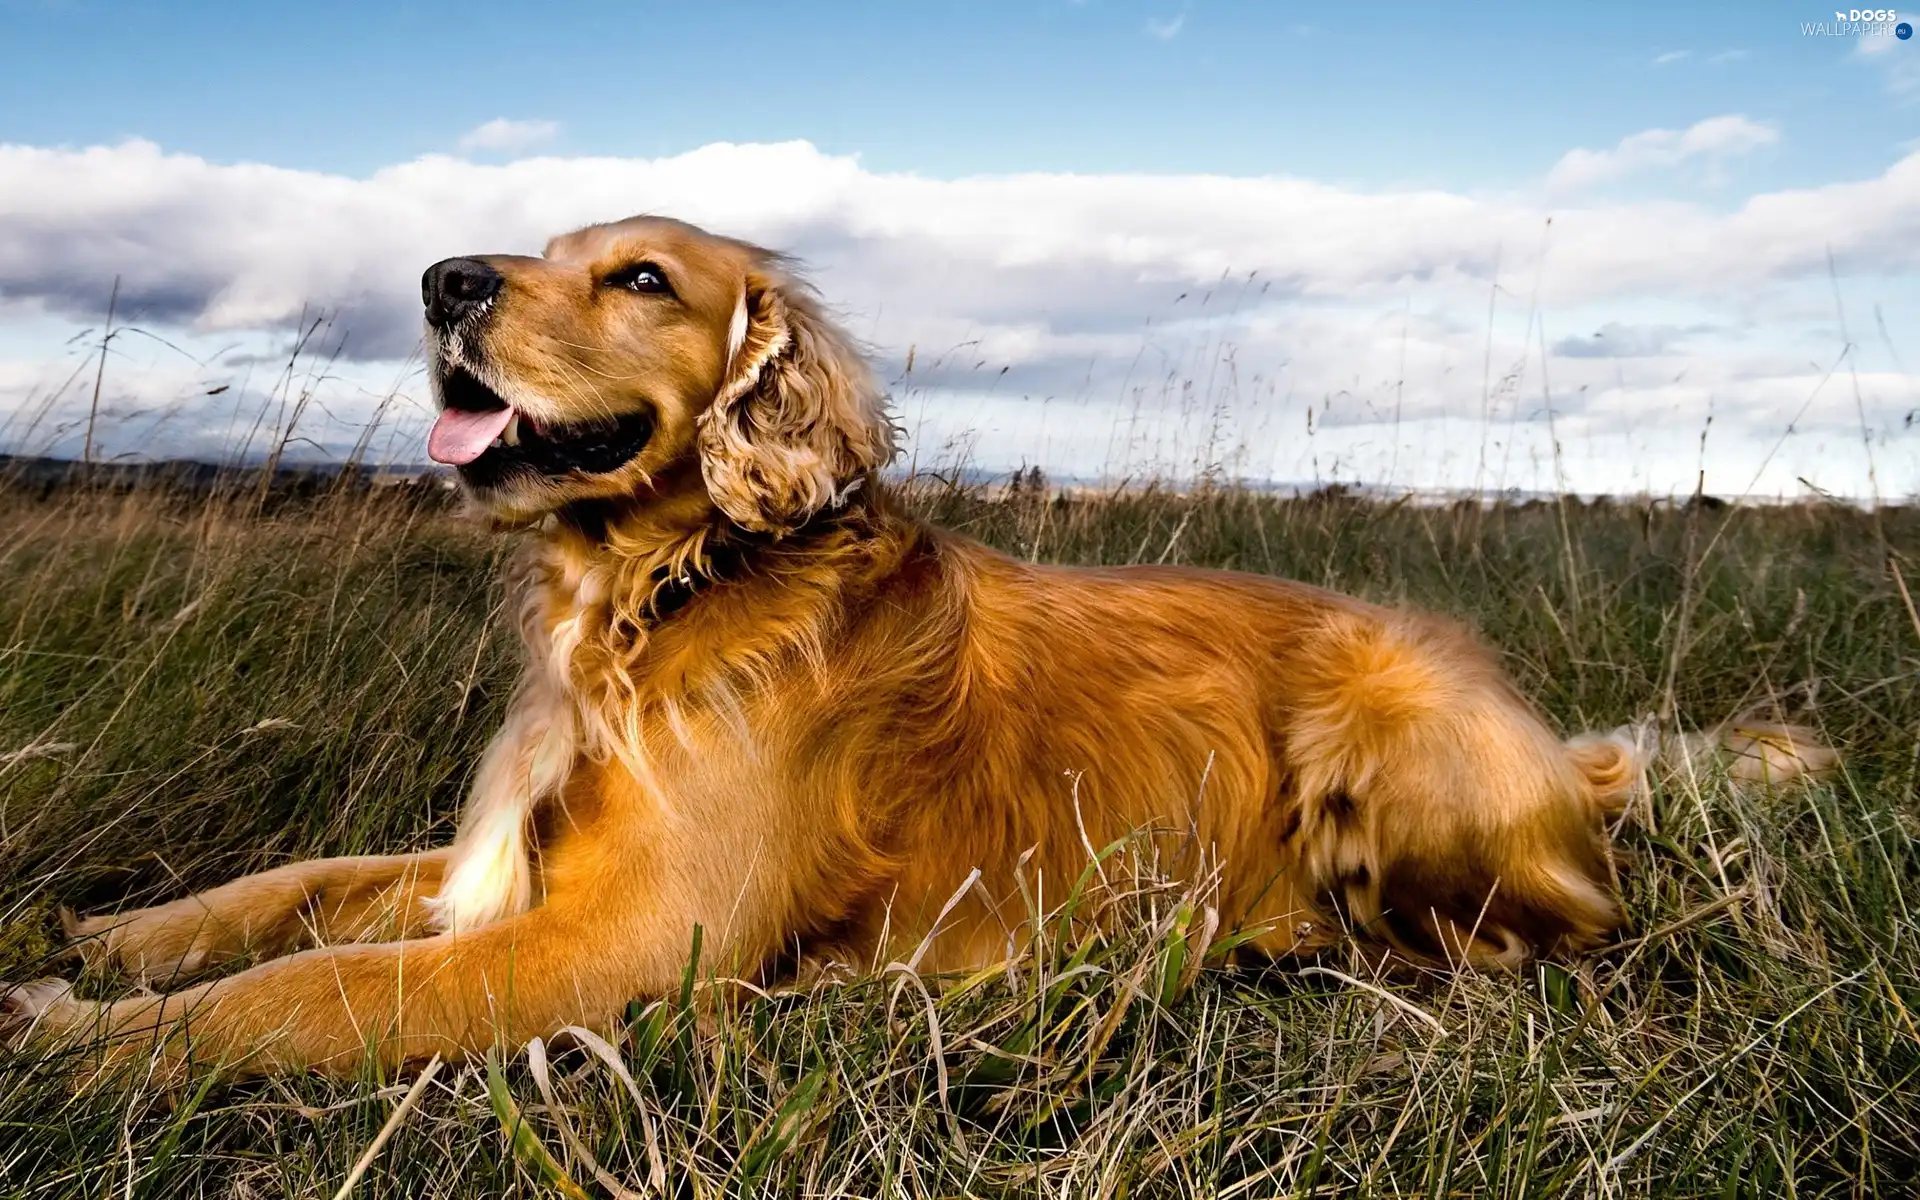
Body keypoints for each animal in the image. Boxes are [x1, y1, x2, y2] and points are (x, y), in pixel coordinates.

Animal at [0, 215, 1835, 1075]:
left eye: (643, 277)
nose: (443, 279)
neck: (655, 596)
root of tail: (1556, 747)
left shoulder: (623, 942)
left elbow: (302, 992)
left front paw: (78, 1045)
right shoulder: (506, 866)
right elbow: (288, 894)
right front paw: (104, 934)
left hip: (1379, 732)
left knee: (1559, 935)